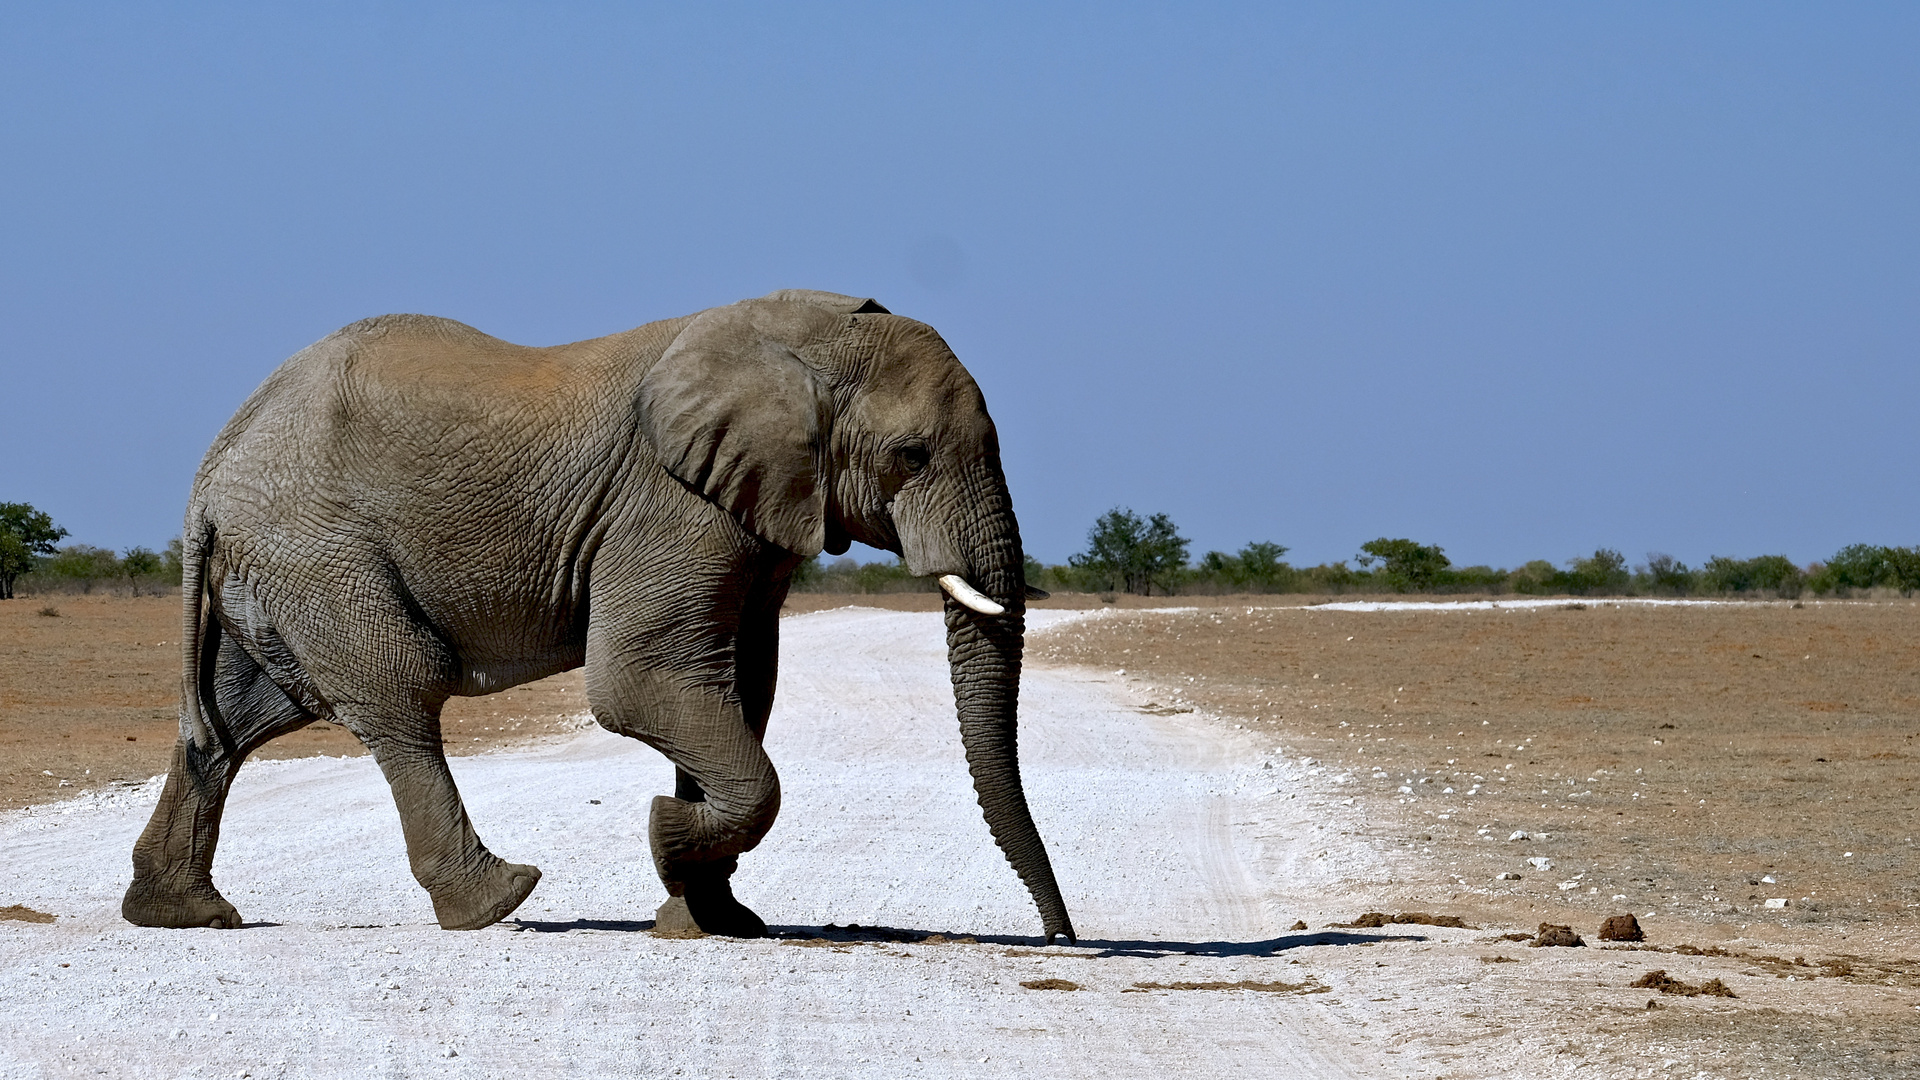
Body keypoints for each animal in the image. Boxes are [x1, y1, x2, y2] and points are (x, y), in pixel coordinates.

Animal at [123, 290, 1082, 937]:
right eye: (910, 455)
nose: (1061, 935)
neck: (793, 336)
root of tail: (211, 469)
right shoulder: (667, 504)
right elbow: (641, 684)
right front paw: (668, 840)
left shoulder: (744, 515)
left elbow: (739, 687)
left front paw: (713, 919)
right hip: (319, 549)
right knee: (399, 696)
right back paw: (498, 899)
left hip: (278, 565)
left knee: (235, 722)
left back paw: (181, 914)